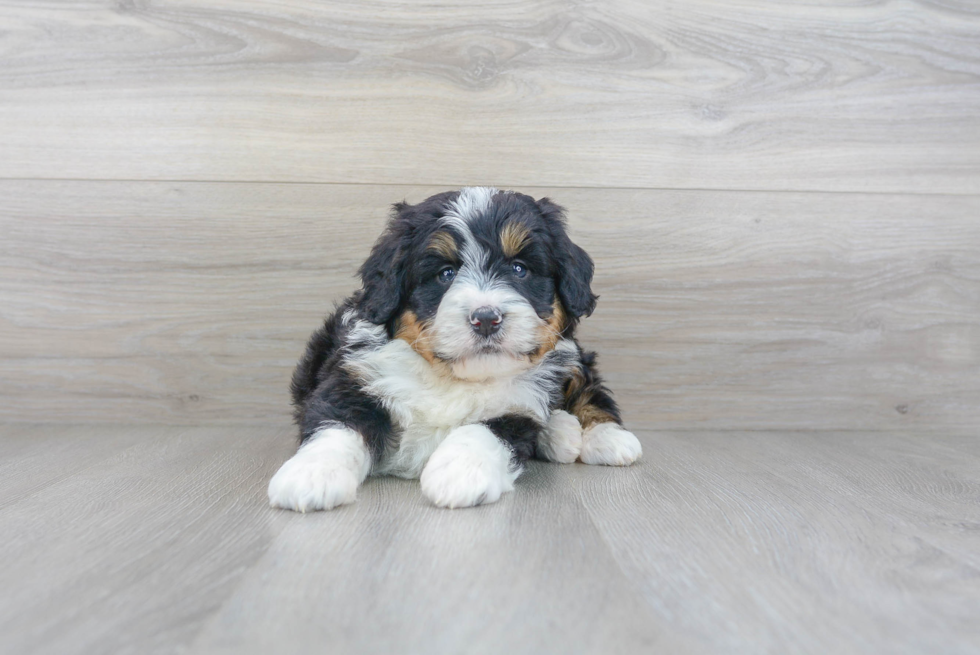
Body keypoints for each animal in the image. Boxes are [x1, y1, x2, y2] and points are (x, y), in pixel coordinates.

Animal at [266, 186, 644, 512]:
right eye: (446, 273)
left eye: (519, 269)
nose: (486, 318)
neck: (452, 377)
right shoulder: (353, 378)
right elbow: (338, 427)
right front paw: (311, 475)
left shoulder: (517, 407)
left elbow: (483, 430)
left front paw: (460, 473)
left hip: (566, 351)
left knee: (586, 383)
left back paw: (606, 437)